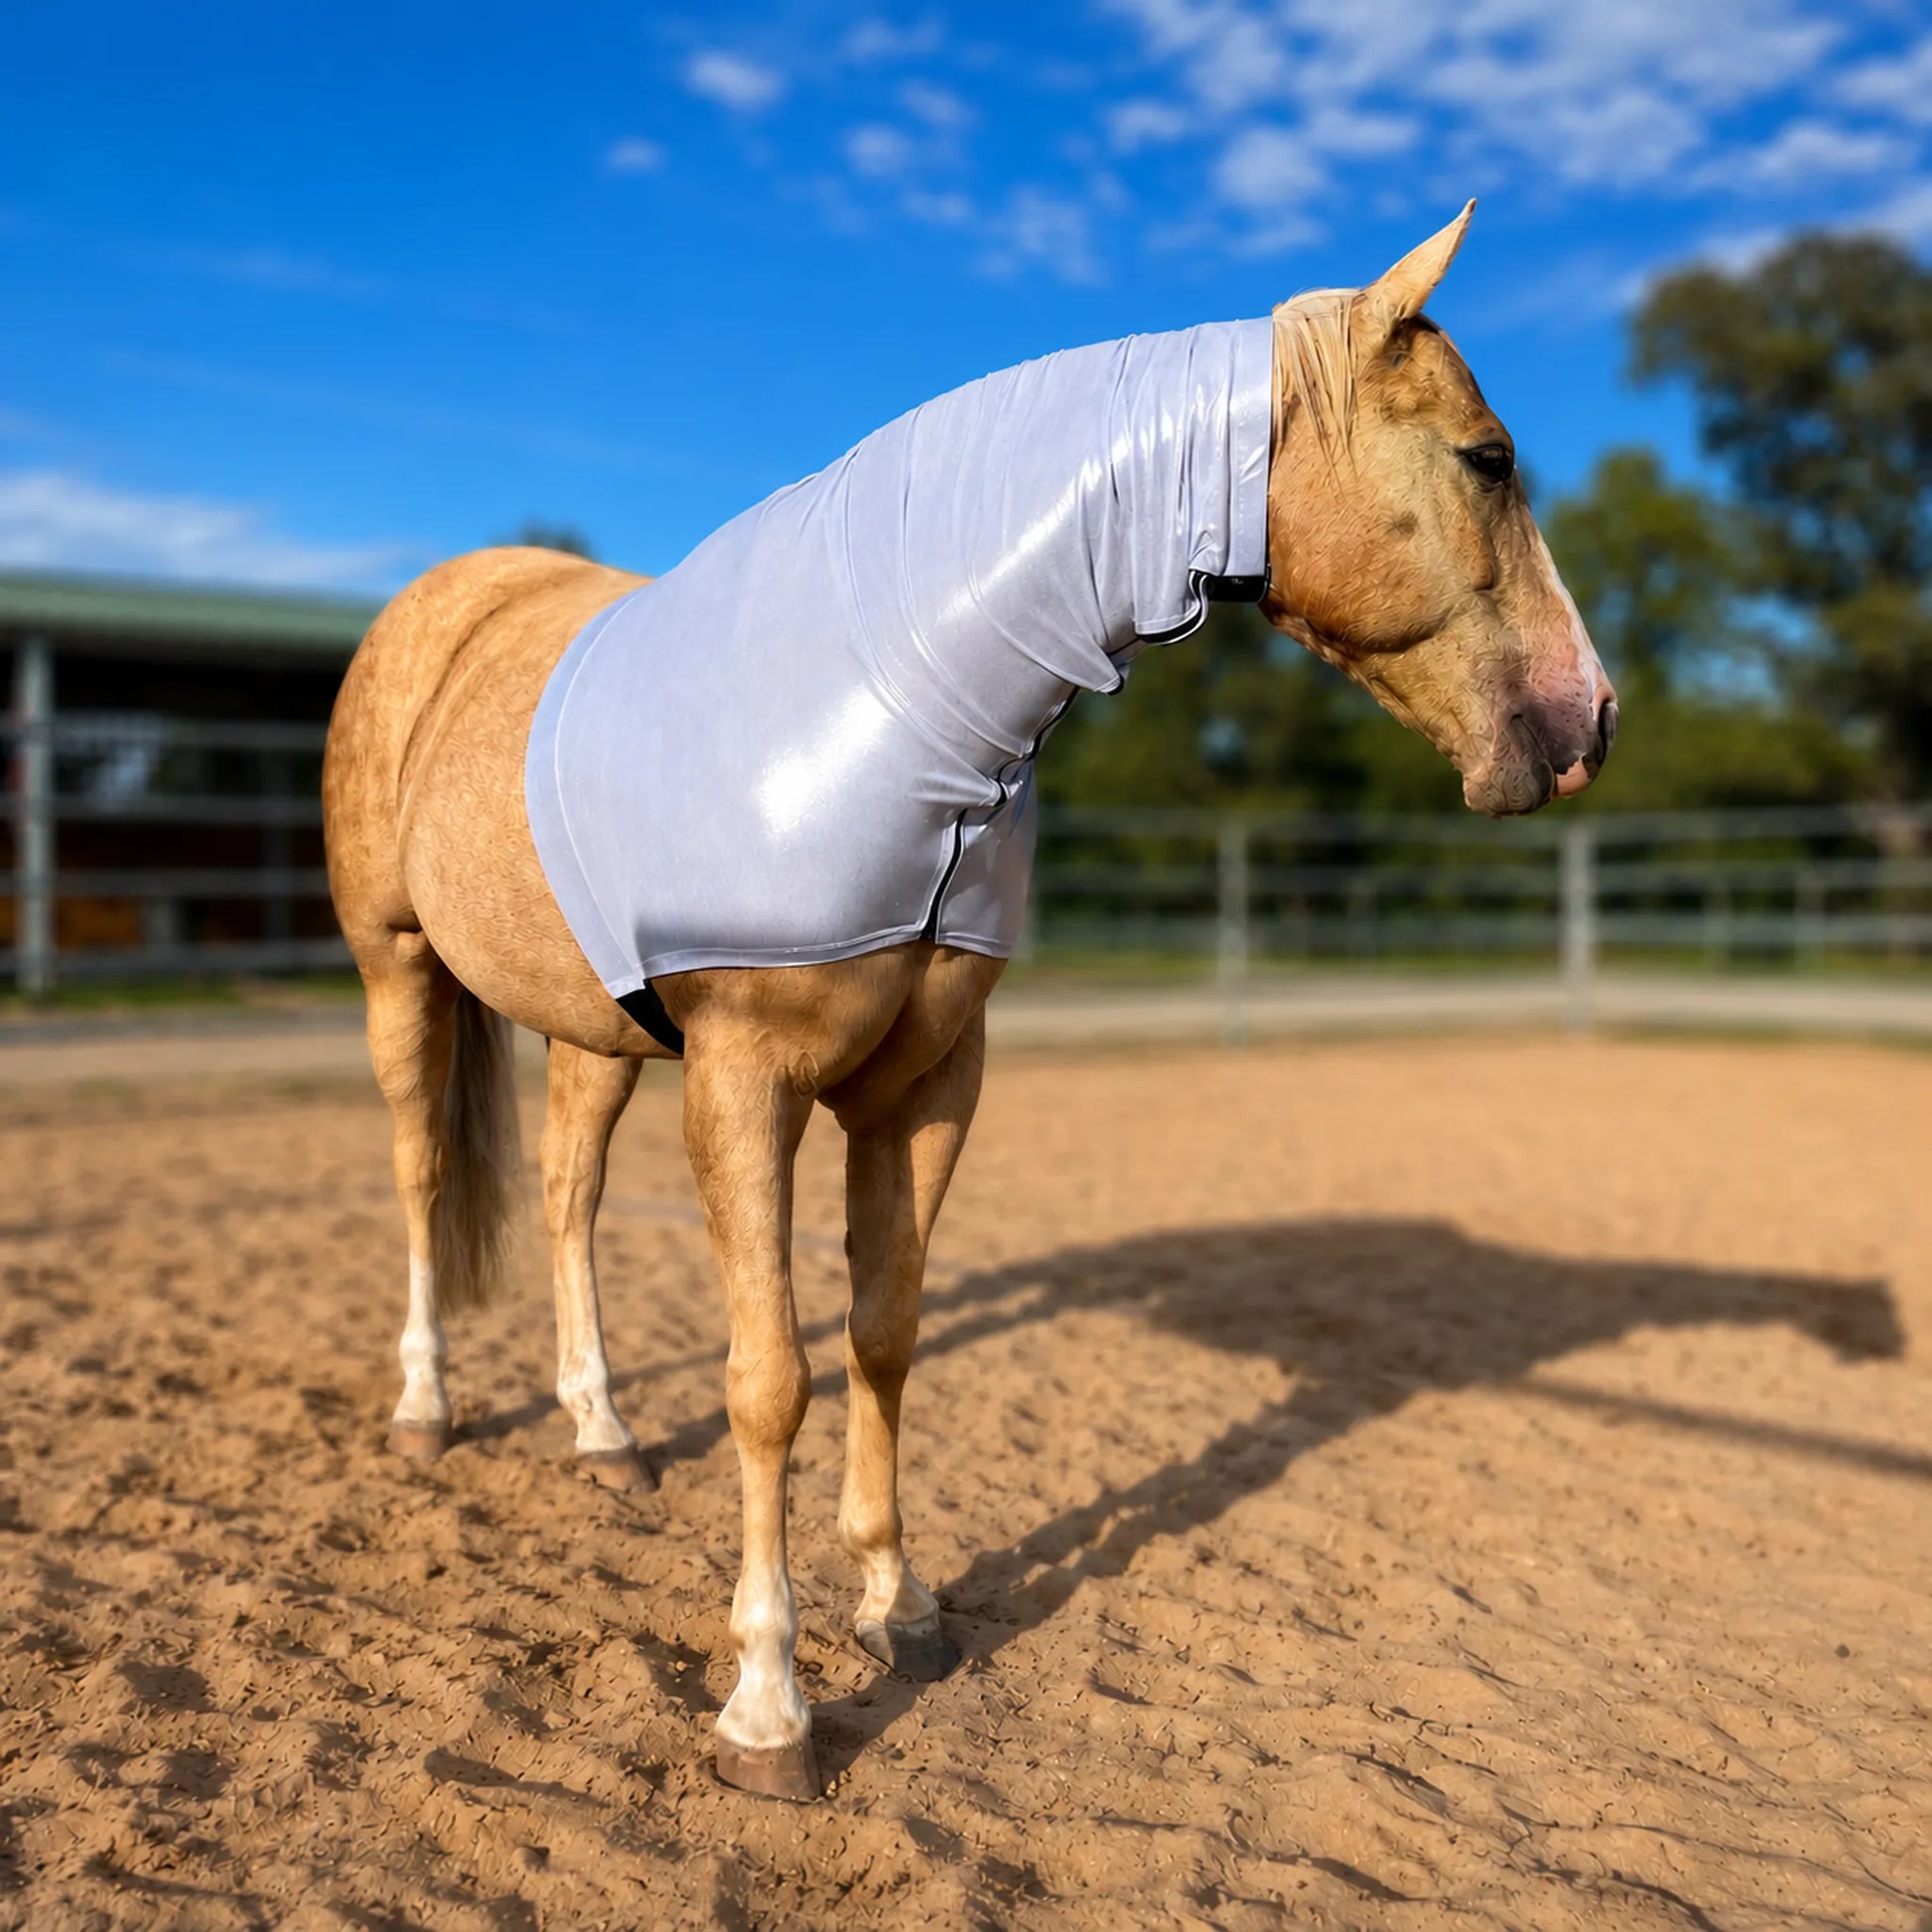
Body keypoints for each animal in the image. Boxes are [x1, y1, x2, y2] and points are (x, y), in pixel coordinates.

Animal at [321, 203, 1615, 1803]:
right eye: (1486, 458)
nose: (1587, 717)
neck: (898, 694)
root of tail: (440, 603)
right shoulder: (744, 1083)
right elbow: (769, 1378)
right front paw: (769, 1706)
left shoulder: (926, 1086)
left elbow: (883, 1332)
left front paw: (900, 1605)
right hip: (396, 967)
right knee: (424, 1172)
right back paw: (427, 1409)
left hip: (588, 1030)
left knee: (564, 1196)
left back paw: (603, 1429)